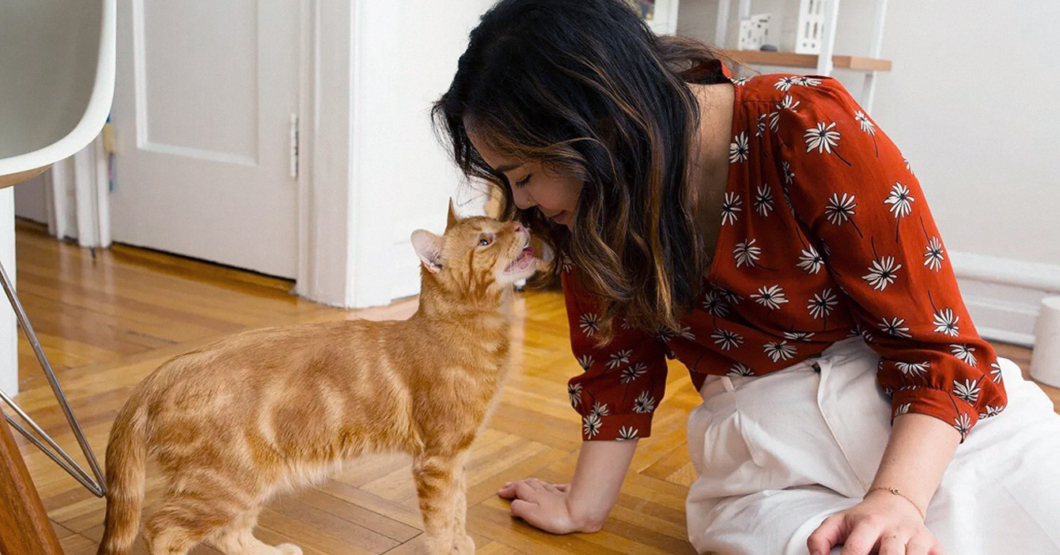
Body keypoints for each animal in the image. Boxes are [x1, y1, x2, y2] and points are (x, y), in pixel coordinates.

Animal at [97, 205, 538, 555]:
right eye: (485, 240)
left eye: (499, 222)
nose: (521, 223)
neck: (468, 334)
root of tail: (161, 373)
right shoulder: (439, 459)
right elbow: (442, 519)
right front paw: (449, 548)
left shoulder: (457, 456)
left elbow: (459, 509)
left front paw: (461, 542)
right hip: (224, 484)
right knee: (162, 530)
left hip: (249, 482)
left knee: (226, 533)